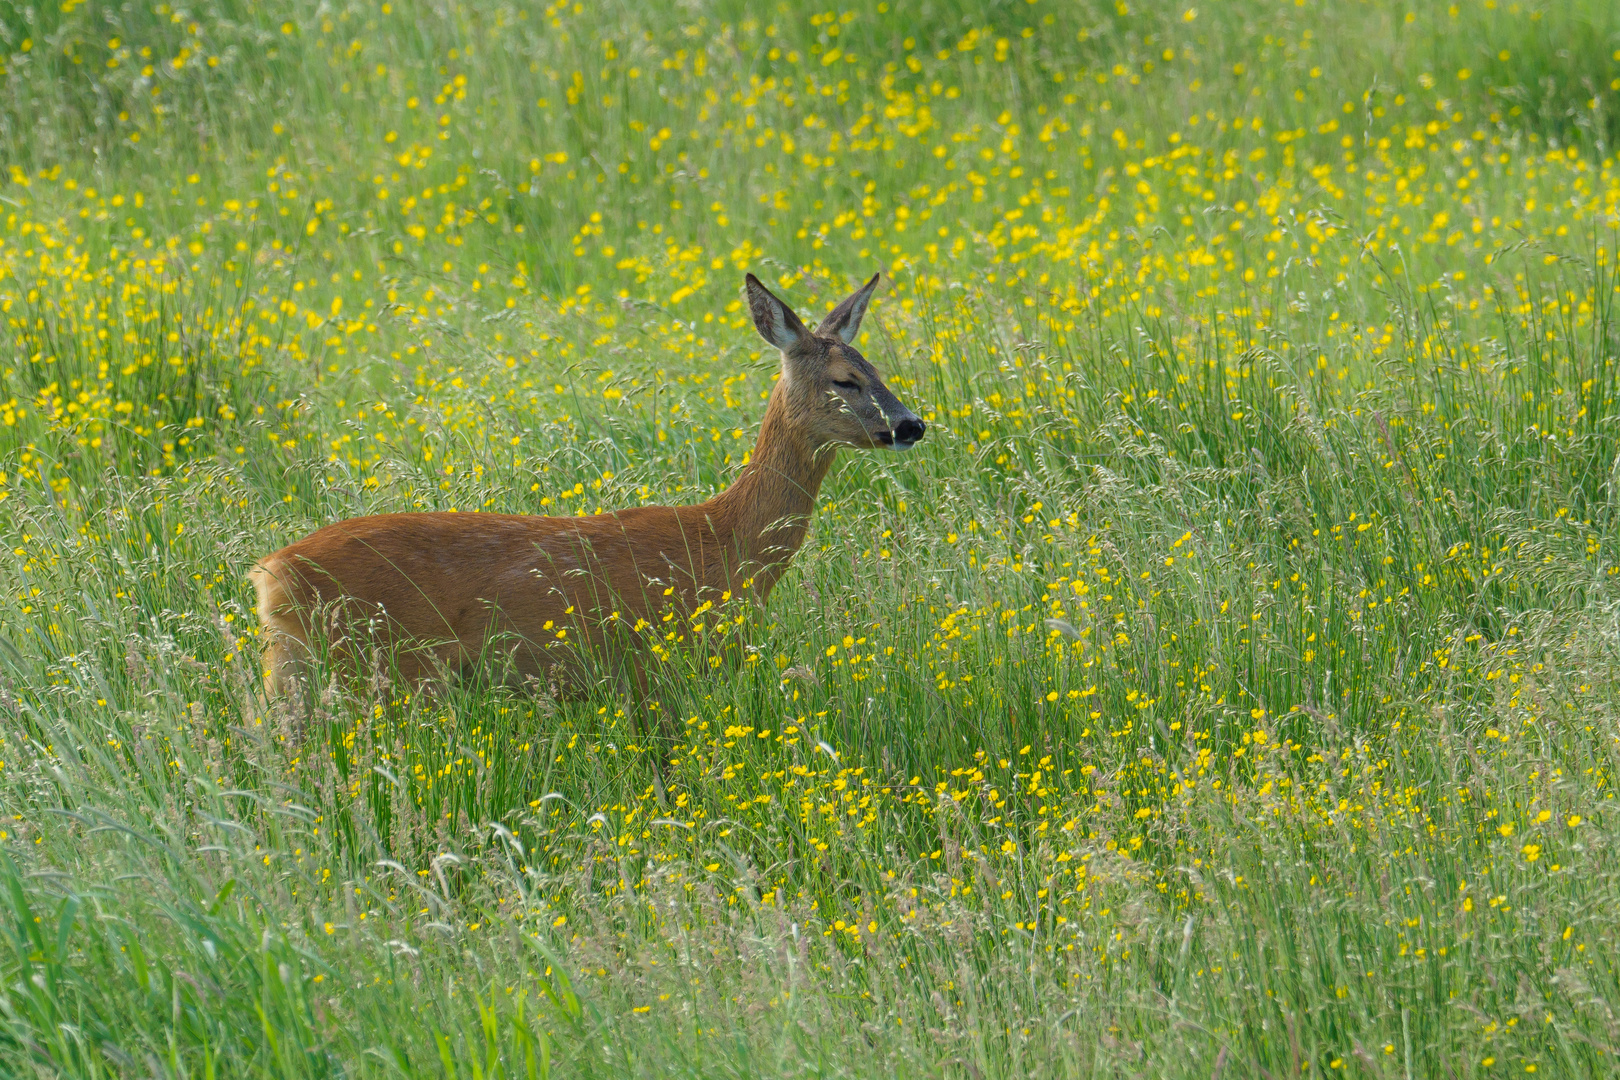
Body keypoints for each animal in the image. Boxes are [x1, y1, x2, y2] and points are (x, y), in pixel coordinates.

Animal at [244, 270, 920, 693]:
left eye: (877, 369)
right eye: (843, 380)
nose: (911, 424)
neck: (729, 543)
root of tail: (269, 572)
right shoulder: (657, 664)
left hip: (294, 669)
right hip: (375, 667)